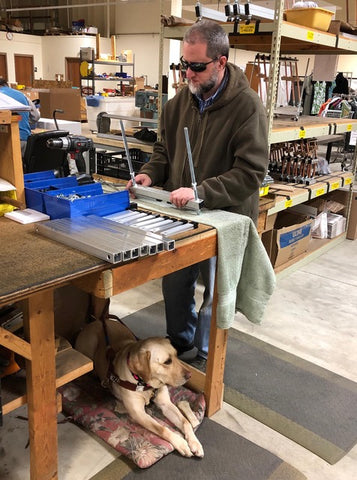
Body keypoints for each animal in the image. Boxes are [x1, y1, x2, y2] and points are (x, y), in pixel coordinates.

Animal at [75, 318, 203, 458]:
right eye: (167, 361)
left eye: (176, 355)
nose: (190, 375)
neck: (145, 385)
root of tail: (96, 321)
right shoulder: (138, 413)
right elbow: (162, 428)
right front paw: (181, 443)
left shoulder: (166, 403)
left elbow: (185, 422)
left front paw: (195, 442)